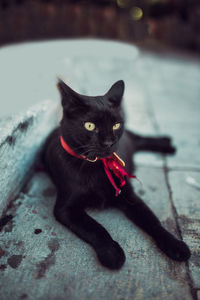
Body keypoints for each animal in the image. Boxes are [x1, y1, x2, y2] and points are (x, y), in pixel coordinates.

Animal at [43, 79, 191, 270]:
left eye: (116, 125)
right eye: (90, 126)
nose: (109, 143)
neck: (95, 166)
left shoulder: (129, 195)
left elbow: (152, 221)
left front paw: (175, 245)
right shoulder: (66, 208)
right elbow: (95, 228)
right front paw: (112, 254)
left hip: (131, 138)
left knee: (140, 138)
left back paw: (167, 143)